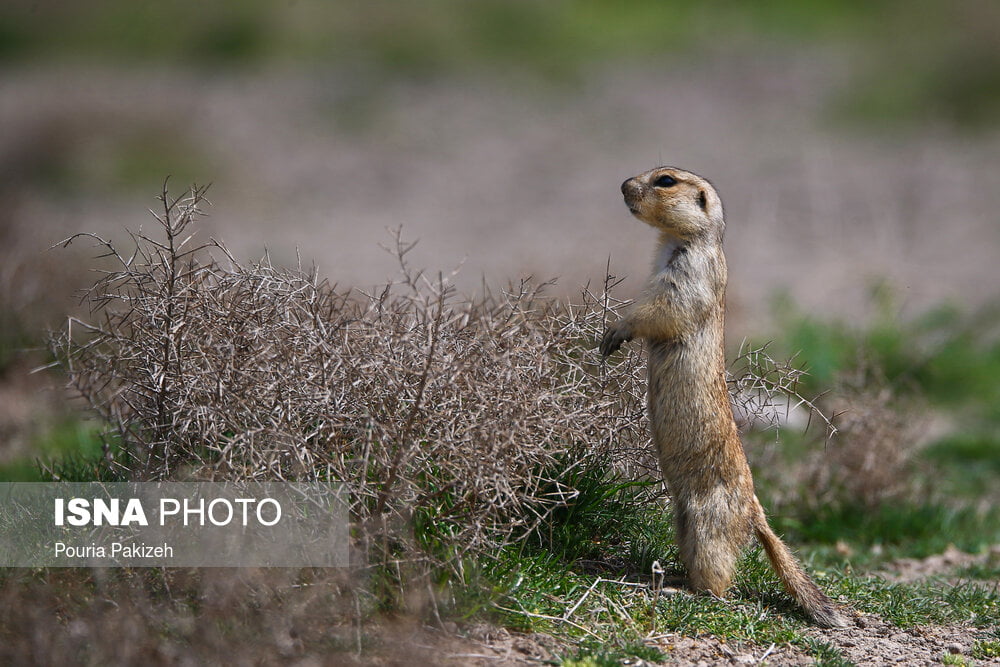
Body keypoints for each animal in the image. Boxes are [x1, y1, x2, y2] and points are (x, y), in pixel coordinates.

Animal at [600, 166, 852, 628]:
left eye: (665, 180)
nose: (624, 184)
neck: (679, 242)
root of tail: (756, 513)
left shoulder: (688, 276)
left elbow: (661, 309)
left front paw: (615, 332)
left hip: (708, 523)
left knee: (719, 579)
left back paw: (688, 591)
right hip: (684, 520)